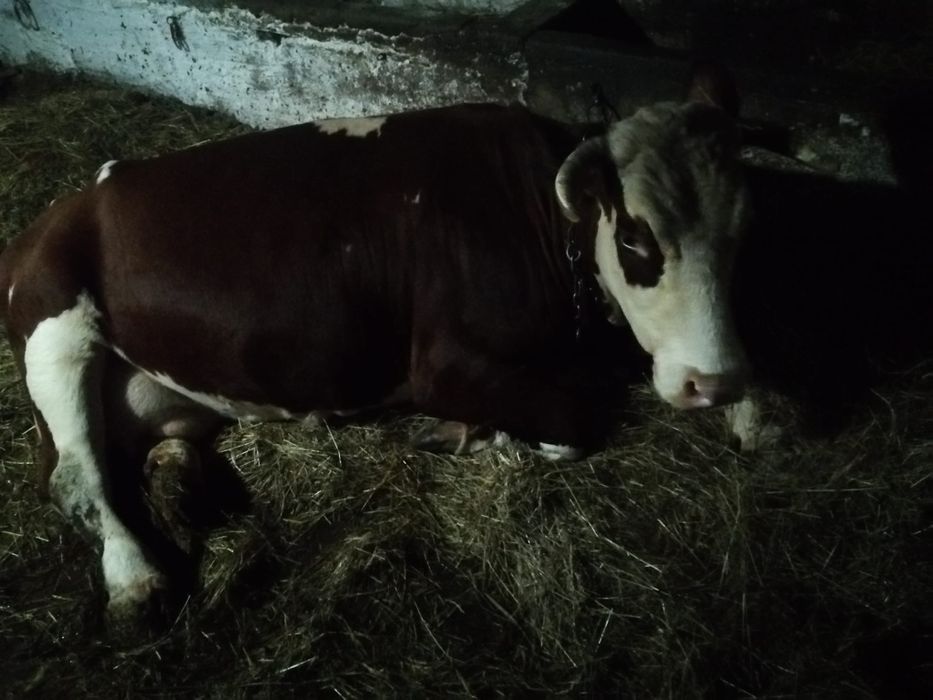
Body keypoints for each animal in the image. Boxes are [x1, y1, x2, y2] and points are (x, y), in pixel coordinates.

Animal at [0, 66, 750, 627]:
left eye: (742, 227)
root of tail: (59, 210)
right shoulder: (444, 364)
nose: (714, 382)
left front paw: (471, 434)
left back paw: (181, 486)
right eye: (633, 239)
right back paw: (137, 580)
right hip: (54, 333)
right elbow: (576, 422)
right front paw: (476, 436)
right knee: (75, 474)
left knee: (149, 449)